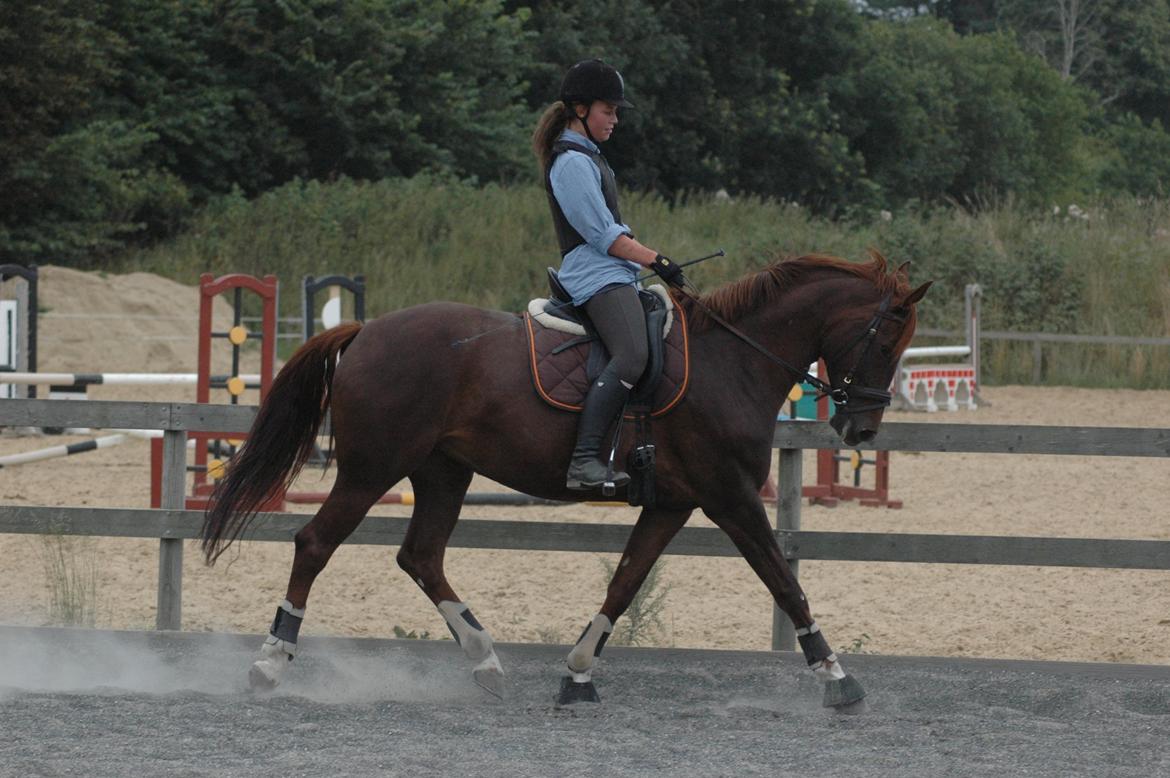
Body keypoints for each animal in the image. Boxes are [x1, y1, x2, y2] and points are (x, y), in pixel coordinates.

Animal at [203, 253, 931, 711]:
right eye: (886, 342)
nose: (862, 429)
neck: (734, 361)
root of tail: (366, 330)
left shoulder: (673, 503)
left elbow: (626, 582)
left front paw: (578, 675)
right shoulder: (730, 496)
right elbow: (784, 581)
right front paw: (837, 678)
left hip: (443, 471)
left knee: (421, 556)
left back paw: (486, 661)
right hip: (371, 469)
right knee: (315, 545)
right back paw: (269, 663)